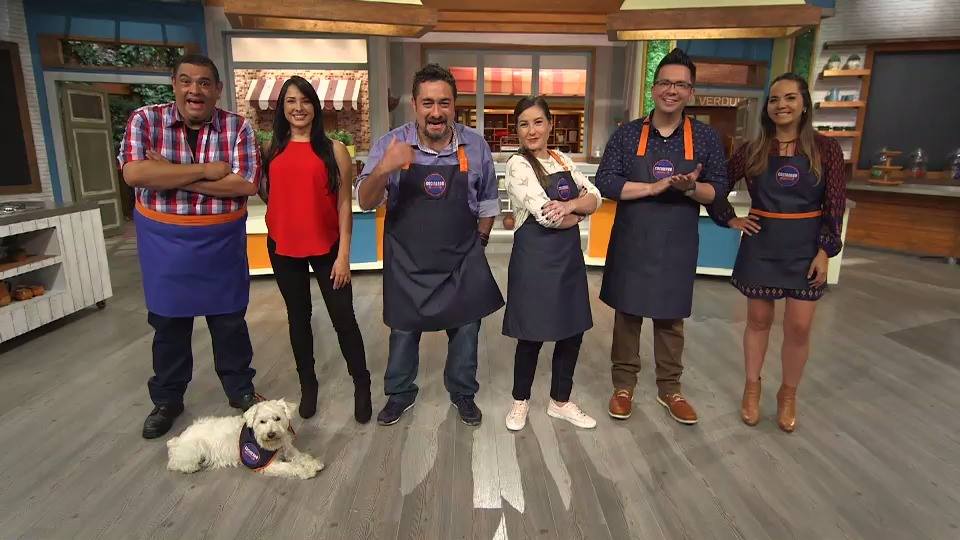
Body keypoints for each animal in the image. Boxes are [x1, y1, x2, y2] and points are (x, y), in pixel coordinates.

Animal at [166, 399, 324, 479]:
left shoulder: (288, 449)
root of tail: (176, 441)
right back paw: (191, 467)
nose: (271, 434)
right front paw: (306, 471)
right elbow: (290, 467)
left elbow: (301, 456)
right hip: (193, 450)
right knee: (176, 463)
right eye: (262, 421)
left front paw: (313, 463)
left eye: (277, 418)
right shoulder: (266, 464)